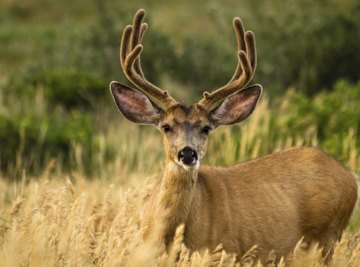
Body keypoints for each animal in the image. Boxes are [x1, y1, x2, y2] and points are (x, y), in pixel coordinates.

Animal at [109, 9, 358, 262]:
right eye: (166, 126)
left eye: (206, 128)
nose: (187, 154)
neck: (171, 233)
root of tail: (349, 175)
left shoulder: (222, 251)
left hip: (326, 236)